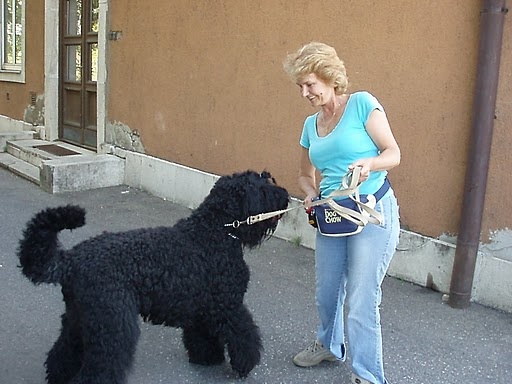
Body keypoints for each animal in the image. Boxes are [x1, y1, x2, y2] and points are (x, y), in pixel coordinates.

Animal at [17, 171, 288, 384]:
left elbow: (202, 335)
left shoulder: (202, 307)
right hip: (112, 325)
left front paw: (206, 358)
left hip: (78, 320)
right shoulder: (229, 305)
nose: (285, 195)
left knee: (62, 355)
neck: (214, 230)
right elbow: (243, 334)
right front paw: (245, 364)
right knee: (98, 369)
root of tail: (70, 260)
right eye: (262, 187)